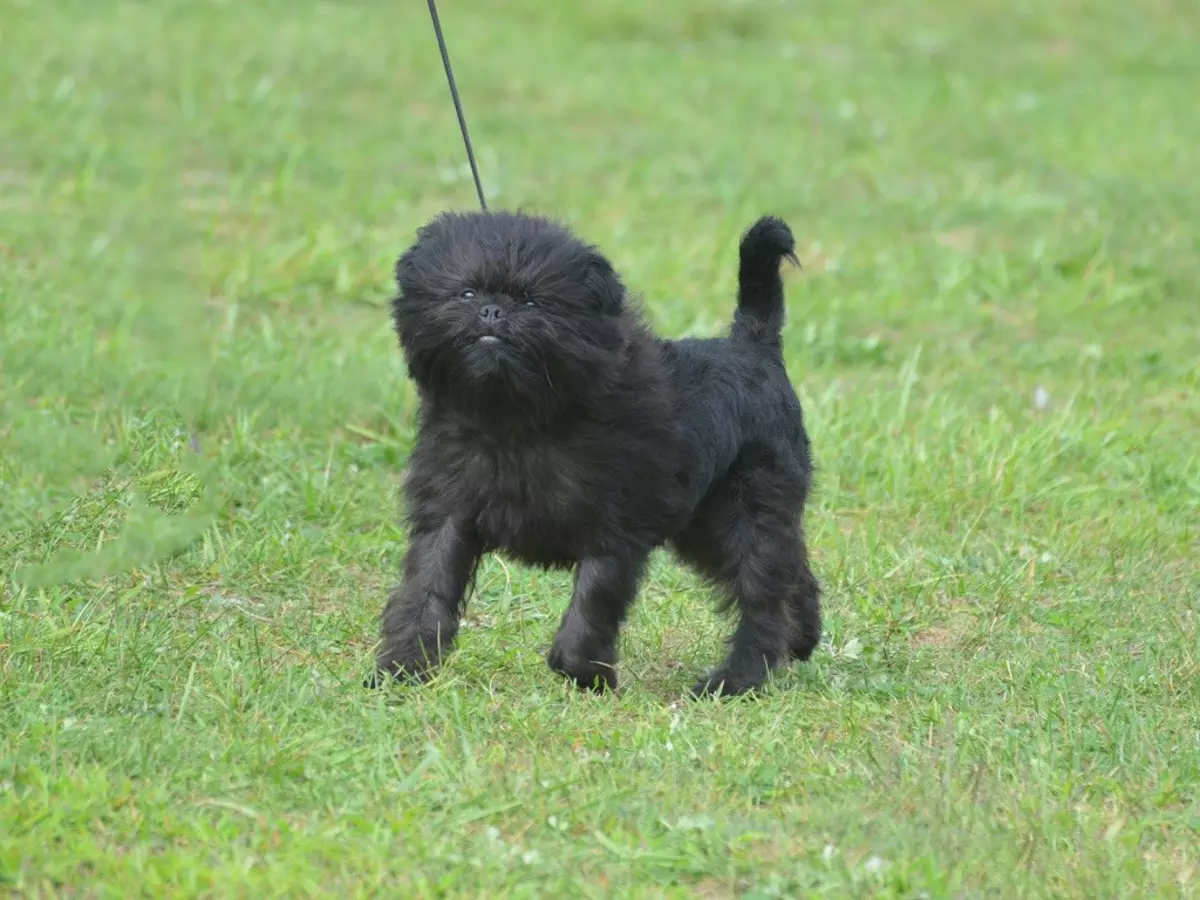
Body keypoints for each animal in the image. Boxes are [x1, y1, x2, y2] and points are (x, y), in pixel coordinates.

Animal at [369, 211, 820, 696]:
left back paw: (737, 679)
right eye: (466, 293)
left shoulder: (614, 529)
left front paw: (586, 672)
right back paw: (803, 638)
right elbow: (425, 592)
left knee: (762, 595)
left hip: (748, 510)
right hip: (705, 527)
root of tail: (754, 346)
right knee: (792, 575)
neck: (515, 419)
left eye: (533, 302)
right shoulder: (448, 516)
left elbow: (592, 604)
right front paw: (400, 668)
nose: (493, 310)